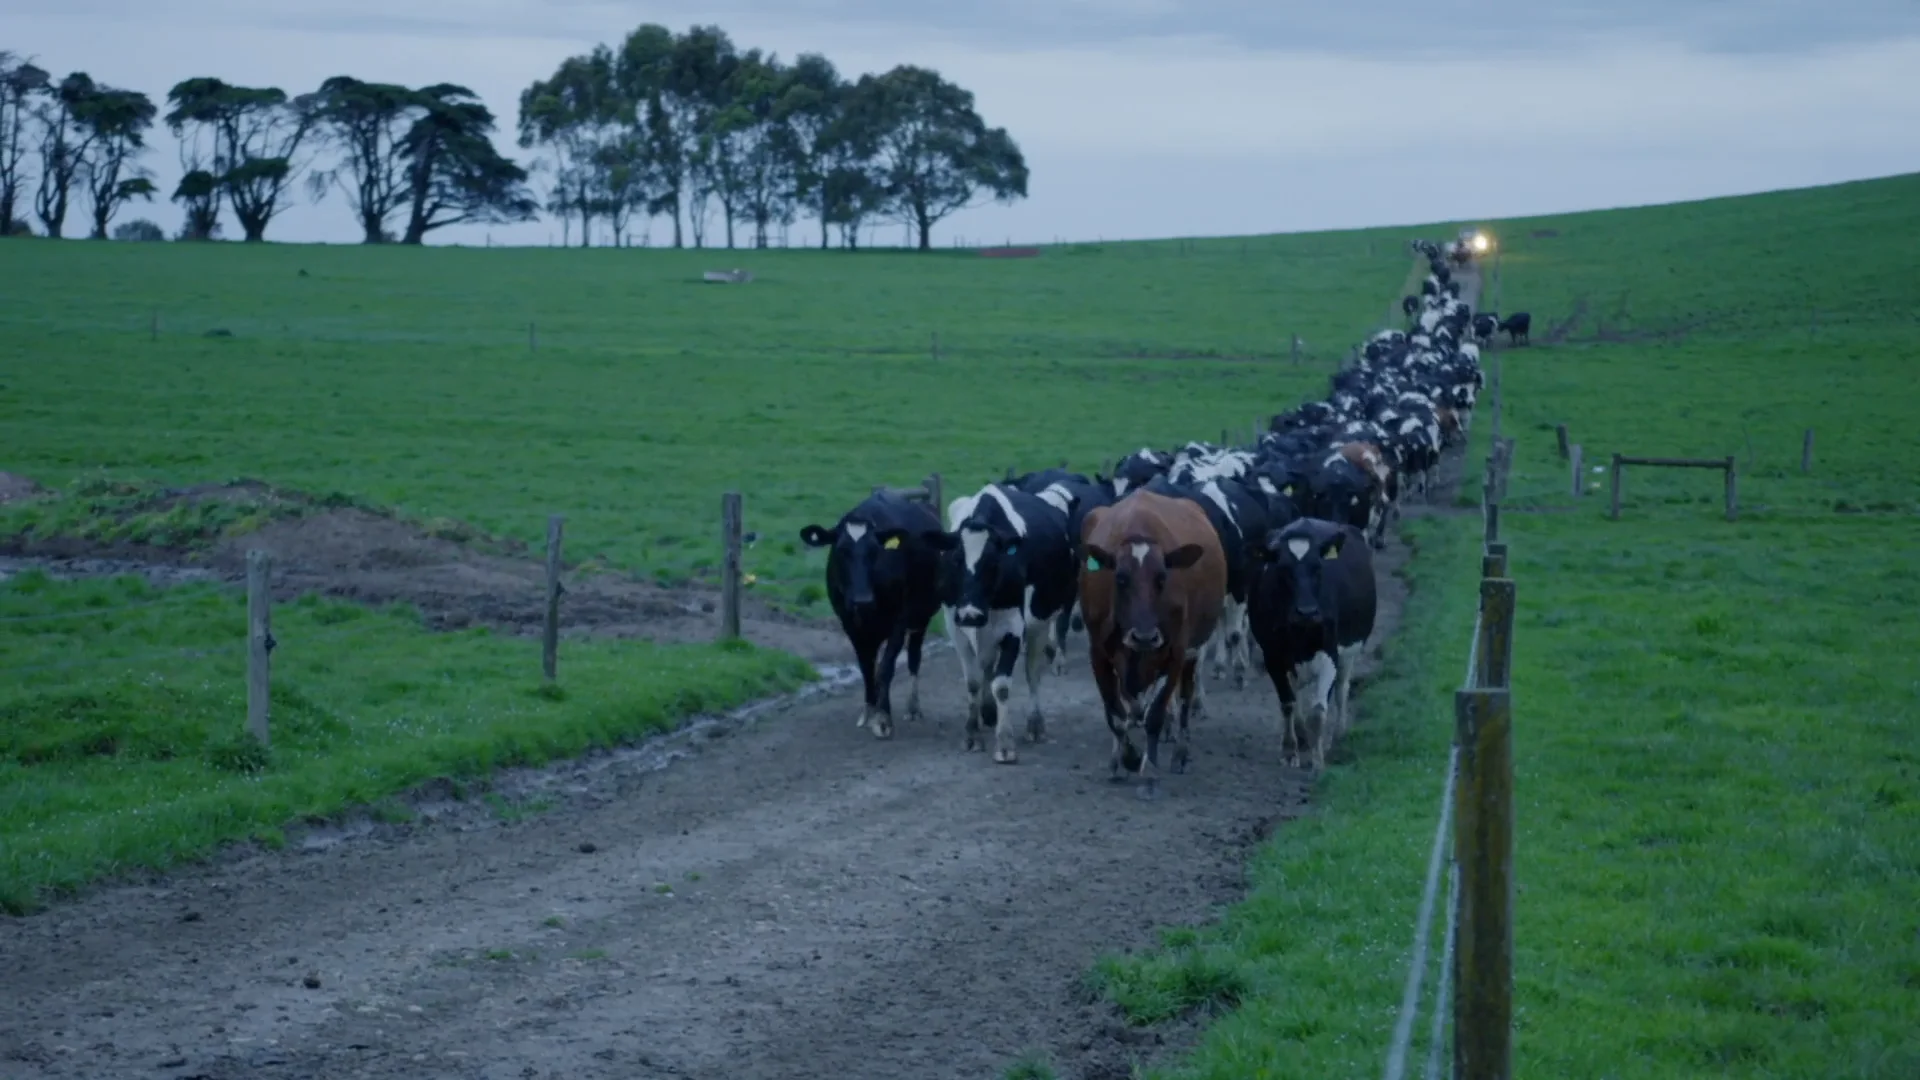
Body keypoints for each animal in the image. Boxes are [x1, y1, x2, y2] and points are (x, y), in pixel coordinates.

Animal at [794, 490, 952, 734]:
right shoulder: (850, 624)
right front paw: (869, 711)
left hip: (922, 616)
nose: (862, 600)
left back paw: (913, 708)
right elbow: (867, 669)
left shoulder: (899, 621)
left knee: (914, 657)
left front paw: (883, 717)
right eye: (841, 550)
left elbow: (886, 667)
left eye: (875, 551)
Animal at [944, 484, 1082, 760]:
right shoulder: (955, 627)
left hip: (1039, 622)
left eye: (993, 562)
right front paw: (972, 734)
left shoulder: (1013, 629)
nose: (970, 614)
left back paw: (1035, 724)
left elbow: (1002, 685)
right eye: (955, 559)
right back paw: (988, 712)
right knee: (987, 665)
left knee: (1032, 673)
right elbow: (973, 682)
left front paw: (1005, 742)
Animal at [1082, 484, 1228, 795]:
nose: (1145, 636)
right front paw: (1125, 758)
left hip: (1191, 653)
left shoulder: (1176, 651)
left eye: (1162, 578)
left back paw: (1180, 753)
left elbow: (1156, 714)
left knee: (1184, 699)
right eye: (1120, 578)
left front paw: (1147, 769)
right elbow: (1115, 714)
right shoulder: (1098, 652)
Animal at [1244, 518, 1382, 768]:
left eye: (1318, 568)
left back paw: (1337, 735)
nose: (1307, 612)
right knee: (1297, 692)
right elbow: (1288, 702)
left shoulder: (1330, 654)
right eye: (1283, 569)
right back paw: (1302, 737)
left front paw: (1318, 762)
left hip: (1349, 653)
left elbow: (1318, 711)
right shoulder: (1273, 656)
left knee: (1341, 689)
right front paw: (1290, 749)